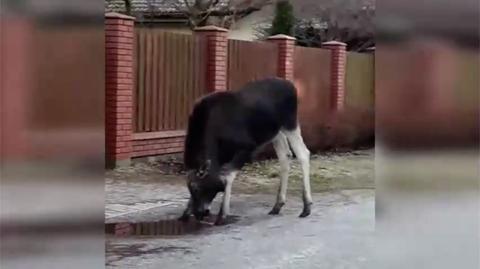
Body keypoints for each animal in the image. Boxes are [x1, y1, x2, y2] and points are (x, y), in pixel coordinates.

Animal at [179, 77, 312, 224]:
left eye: (197, 187)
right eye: (190, 187)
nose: (200, 213)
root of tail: (293, 87)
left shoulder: (247, 147)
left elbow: (228, 176)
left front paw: (222, 214)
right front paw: (185, 213)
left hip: (290, 123)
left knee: (303, 153)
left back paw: (306, 206)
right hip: (275, 132)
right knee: (285, 156)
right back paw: (278, 205)